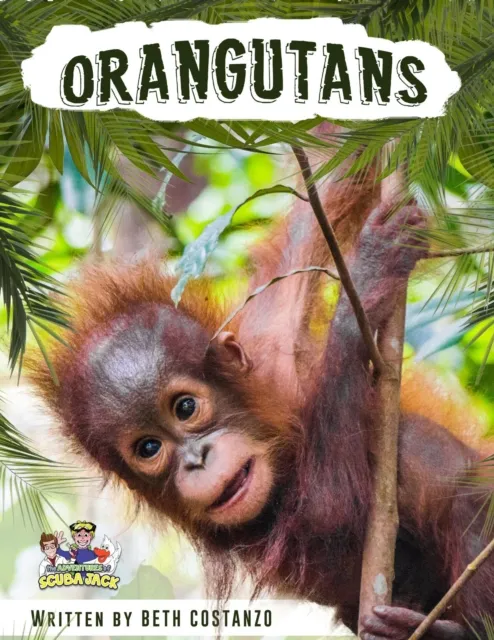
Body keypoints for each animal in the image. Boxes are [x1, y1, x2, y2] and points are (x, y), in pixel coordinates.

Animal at [29, 145, 494, 639]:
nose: (196, 460)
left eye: (185, 407)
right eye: (149, 448)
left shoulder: (274, 333)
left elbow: (331, 182)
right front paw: (363, 289)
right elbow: (331, 513)